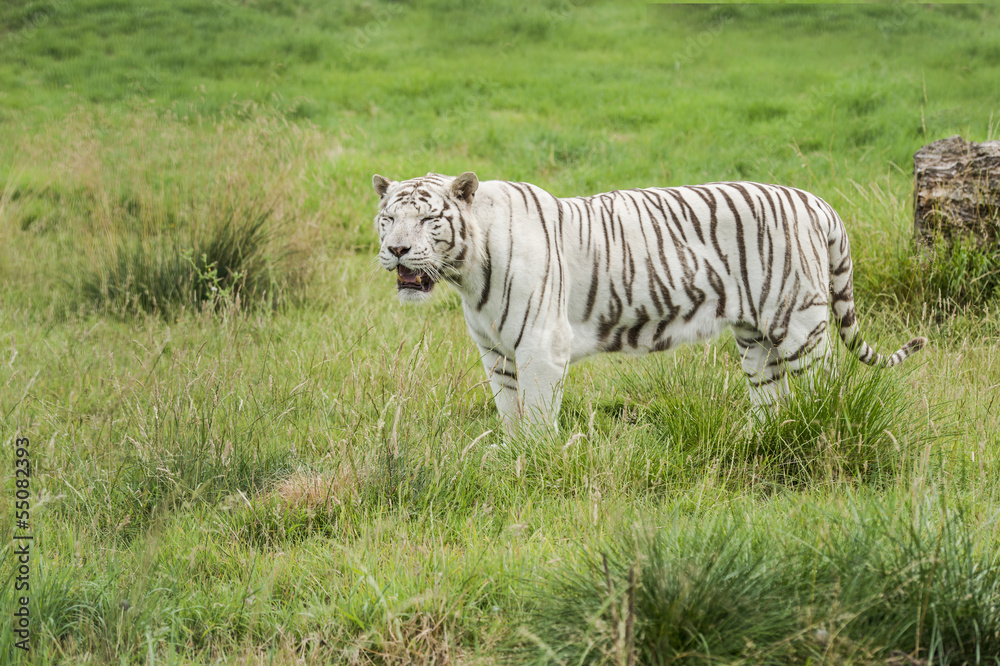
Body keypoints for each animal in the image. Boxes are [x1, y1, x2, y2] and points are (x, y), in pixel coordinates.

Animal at [372, 171, 927, 430]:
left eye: (429, 219)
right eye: (388, 218)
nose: (396, 249)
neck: (467, 272)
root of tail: (815, 200)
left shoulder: (541, 347)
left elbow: (537, 417)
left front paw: (534, 464)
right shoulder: (496, 353)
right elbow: (509, 412)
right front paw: (510, 458)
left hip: (799, 325)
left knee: (827, 386)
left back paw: (824, 431)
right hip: (756, 339)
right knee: (773, 399)